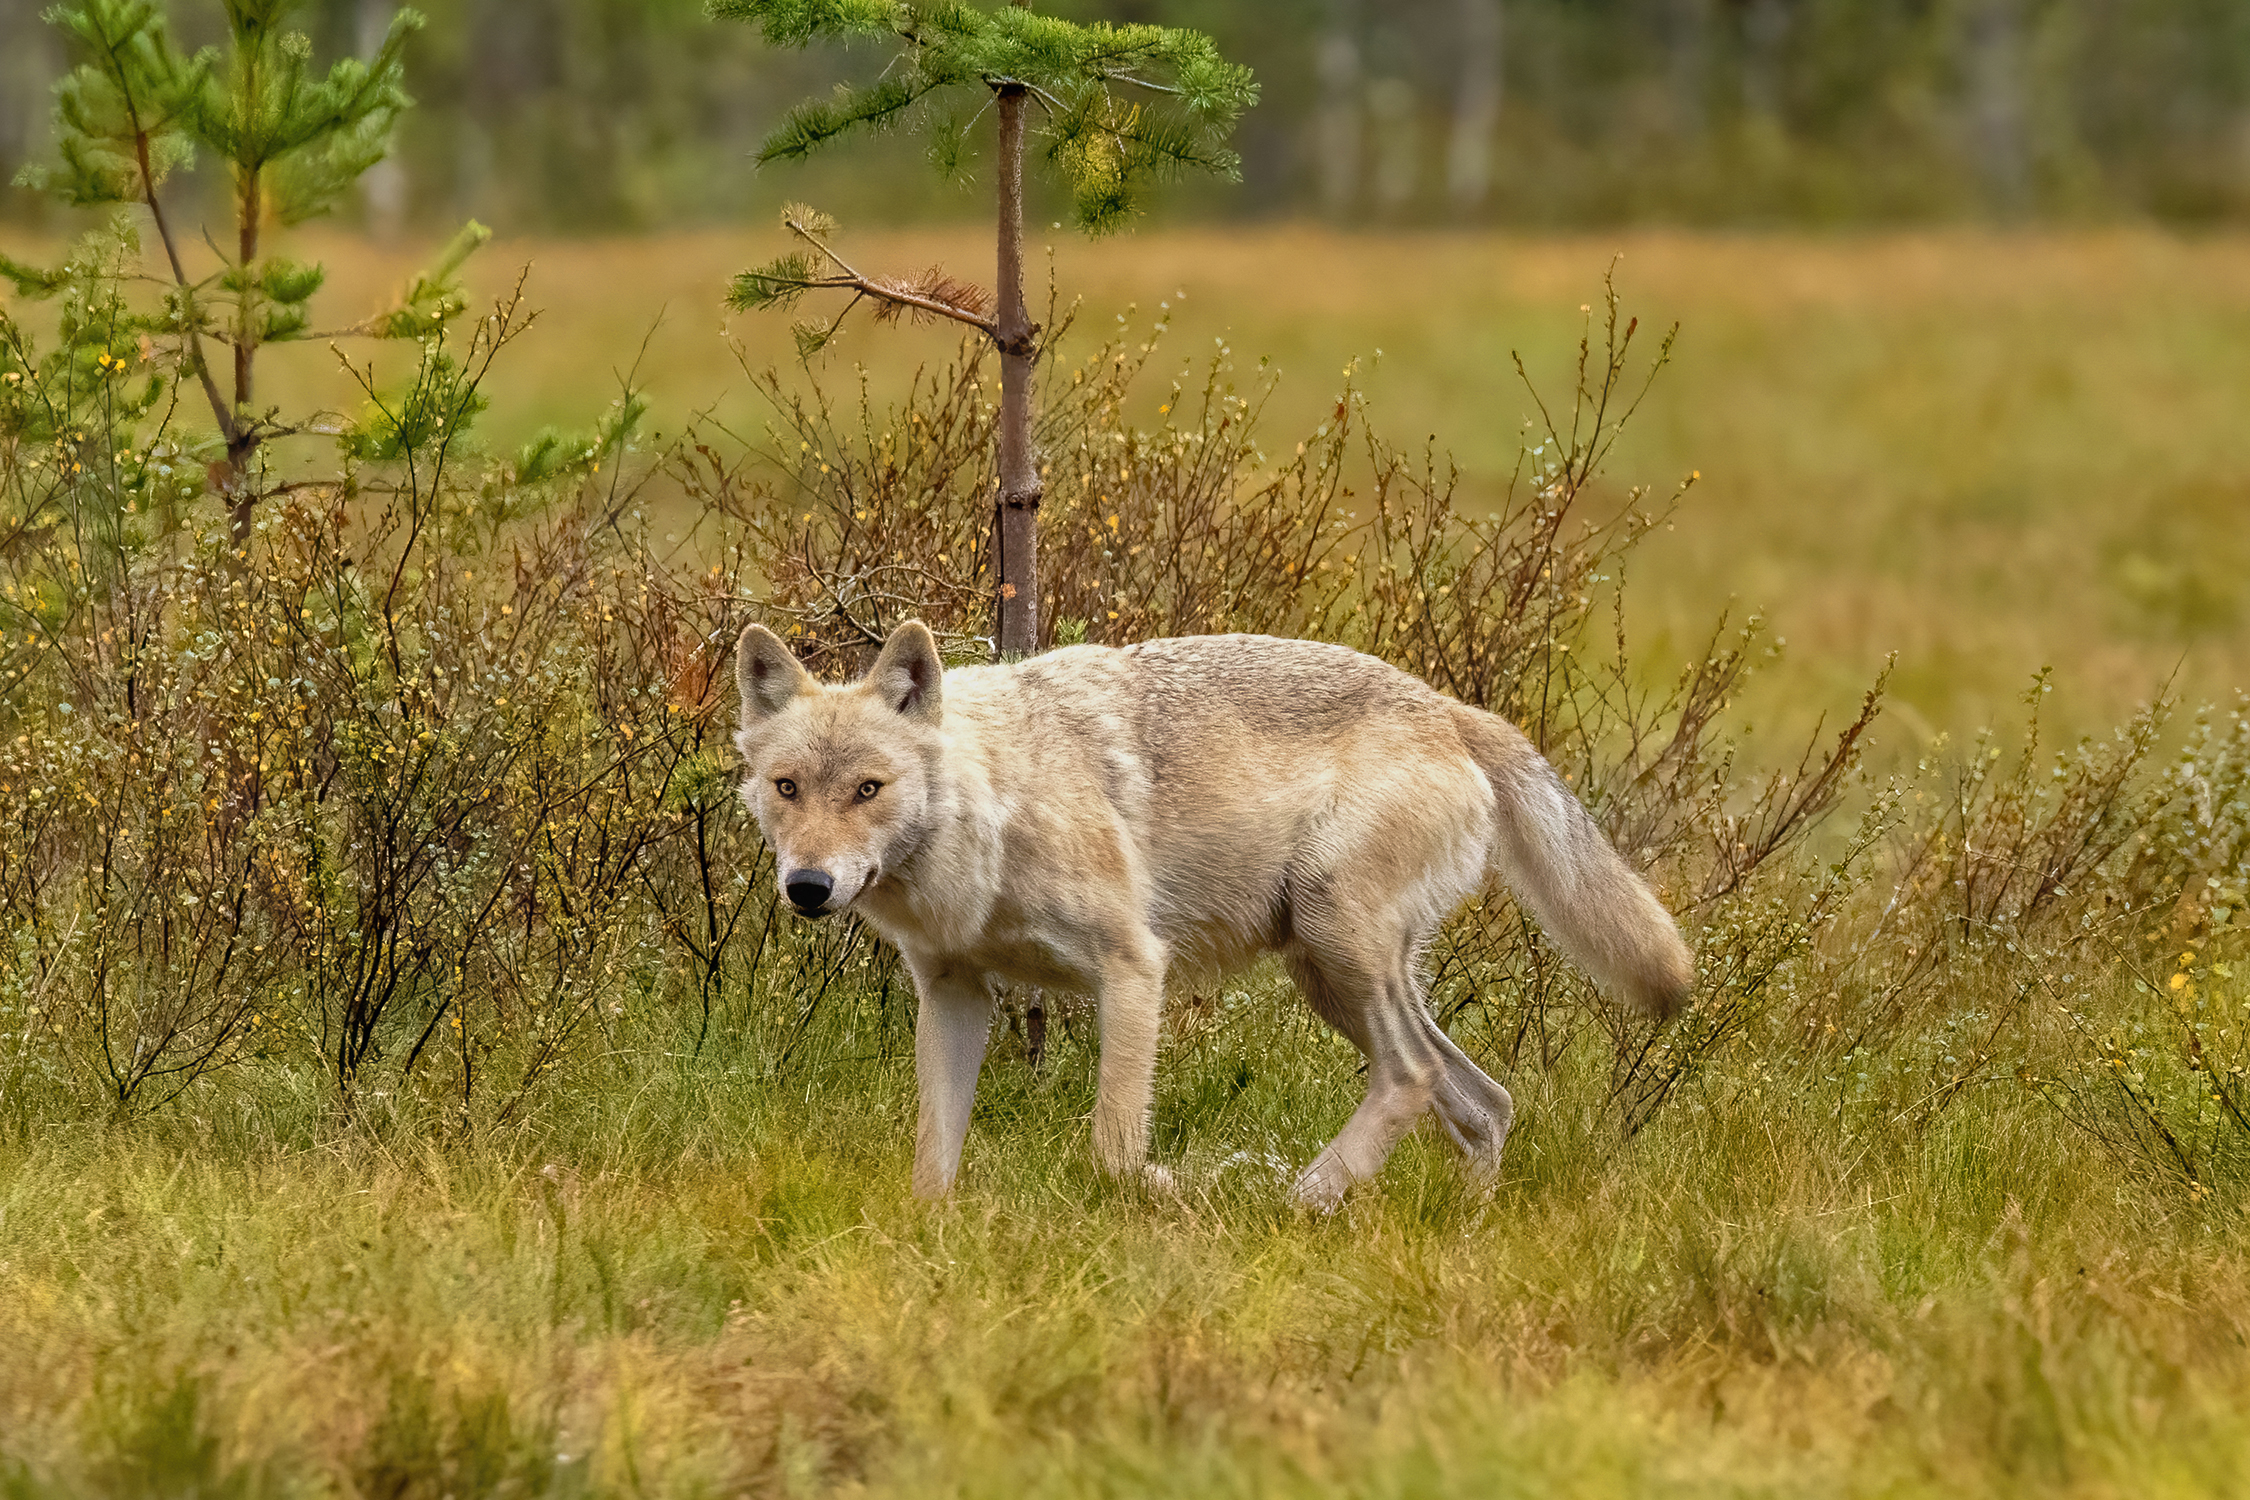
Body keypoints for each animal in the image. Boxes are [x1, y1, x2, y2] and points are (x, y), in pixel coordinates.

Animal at [733, 620, 1692, 1208]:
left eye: (869, 789)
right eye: (788, 788)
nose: (808, 886)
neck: (993, 806)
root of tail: (1453, 711)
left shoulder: (1133, 968)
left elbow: (1112, 1152)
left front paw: (1166, 1188)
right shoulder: (956, 993)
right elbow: (932, 1163)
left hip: (1336, 949)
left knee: (1415, 1078)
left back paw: (1295, 1199)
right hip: (1329, 977)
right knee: (1485, 1102)